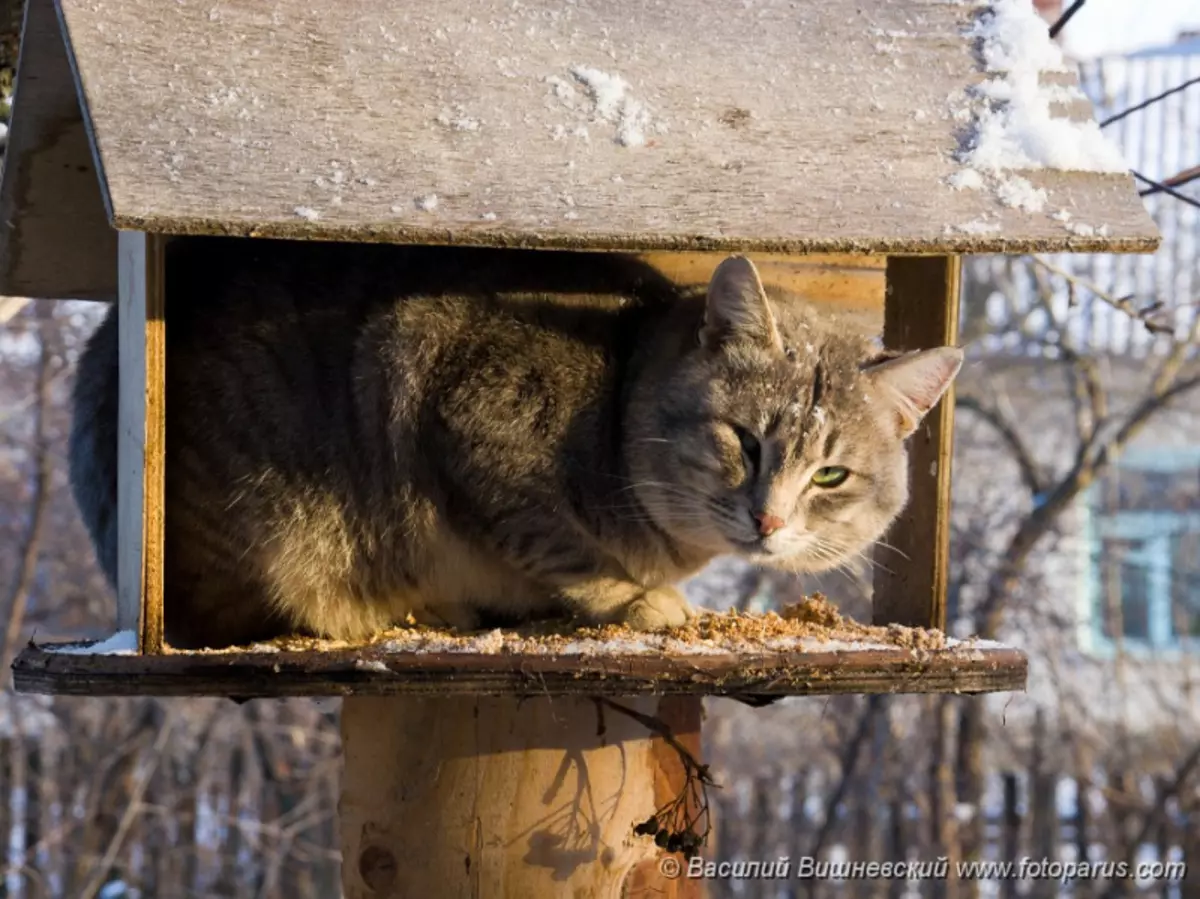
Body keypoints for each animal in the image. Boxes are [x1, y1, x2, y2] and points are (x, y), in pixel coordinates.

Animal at [70, 238, 960, 643]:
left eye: (831, 475)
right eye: (744, 440)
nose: (769, 519)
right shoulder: (462, 416)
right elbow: (559, 544)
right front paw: (635, 597)